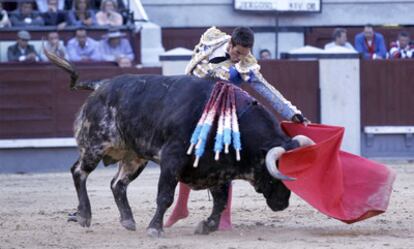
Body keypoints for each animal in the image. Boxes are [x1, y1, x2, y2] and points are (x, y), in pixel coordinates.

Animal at [45, 51, 312, 237]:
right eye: (276, 175)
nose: (283, 204)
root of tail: (100, 85)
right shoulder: (171, 160)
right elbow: (165, 196)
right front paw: (155, 229)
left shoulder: (218, 168)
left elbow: (221, 200)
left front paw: (207, 226)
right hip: (95, 145)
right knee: (79, 172)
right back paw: (84, 215)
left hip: (134, 156)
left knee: (117, 184)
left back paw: (128, 220)